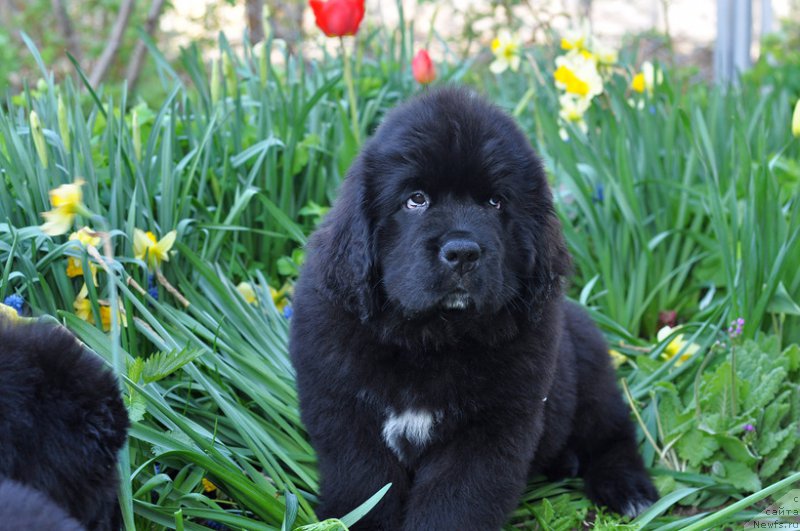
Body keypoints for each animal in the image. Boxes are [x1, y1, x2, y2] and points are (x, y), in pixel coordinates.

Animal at [290, 88, 660, 531]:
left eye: (496, 202)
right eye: (415, 200)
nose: (463, 252)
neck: (428, 340)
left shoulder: (490, 429)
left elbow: (454, 504)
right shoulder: (344, 414)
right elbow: (364, 487)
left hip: (591, 375)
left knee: (614, 433)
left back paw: (628, 489)